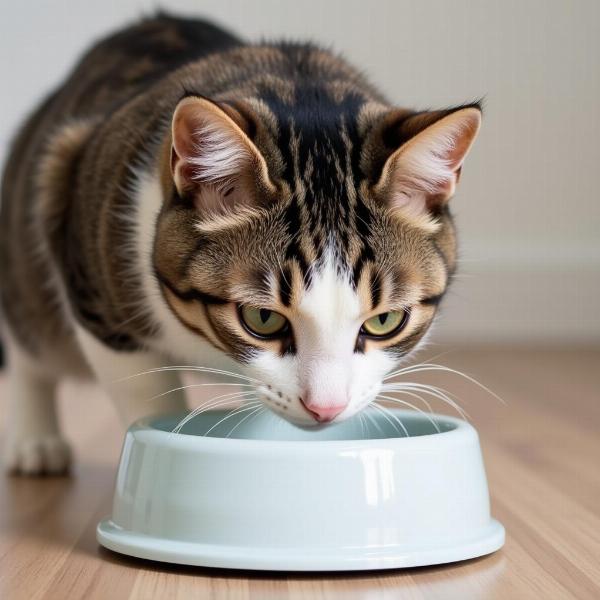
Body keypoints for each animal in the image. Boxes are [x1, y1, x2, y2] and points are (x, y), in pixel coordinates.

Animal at [0, 12, 478, 474]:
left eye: (385, 321)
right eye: (262, 318)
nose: (325, 408)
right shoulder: (97, 289)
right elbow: (144, 394)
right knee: (31, 344)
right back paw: (36, 440)